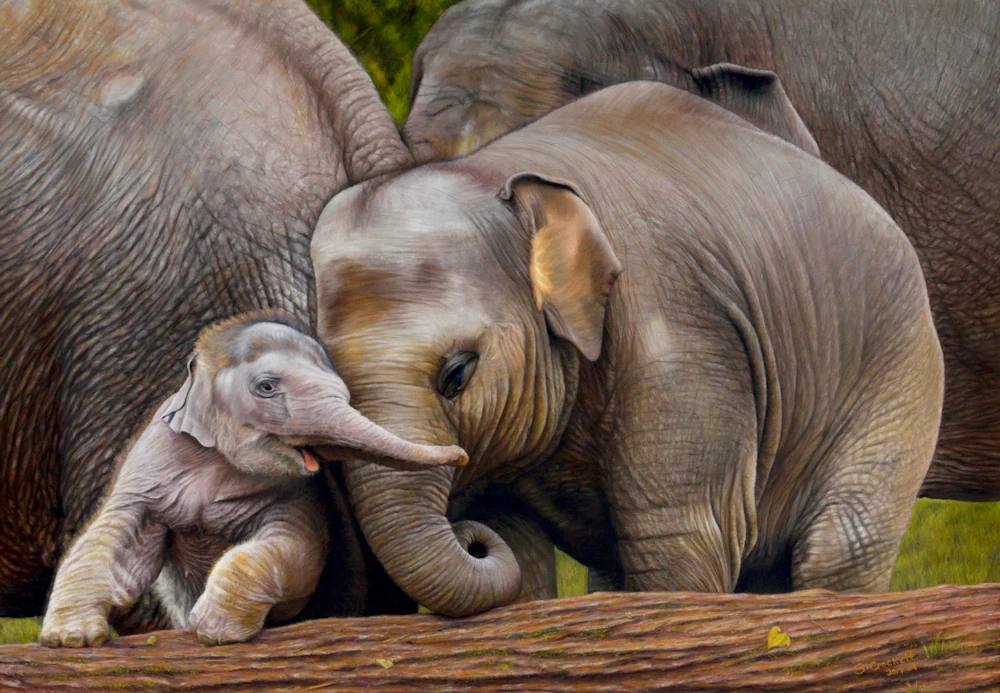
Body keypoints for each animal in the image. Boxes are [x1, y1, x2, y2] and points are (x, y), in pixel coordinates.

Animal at [41, 311, 467, 648]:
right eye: (267, 387)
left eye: (345, 394)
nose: (461, 454)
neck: (216, 457)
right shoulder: (147, 469)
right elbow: (115, 544)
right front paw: (68, 640)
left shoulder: (298, 494)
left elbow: (295, 548)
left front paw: (213, 631)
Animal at [310, 81, 945, 617]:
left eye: (457, 374)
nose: (468, 540)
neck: (500, 171)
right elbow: (516, 542)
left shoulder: (676, 325)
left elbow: (679, 540)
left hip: (902, 365)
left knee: (838, 547)